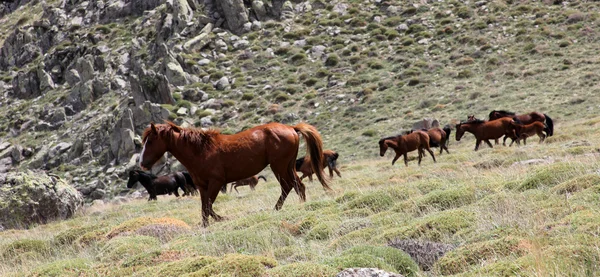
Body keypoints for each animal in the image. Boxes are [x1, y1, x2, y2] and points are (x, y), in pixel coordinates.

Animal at [139, 121, 330, 226]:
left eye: (151, 141)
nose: (142, 163)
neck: (200, 151)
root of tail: (292, 128)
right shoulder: (202, 186)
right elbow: (204, 208)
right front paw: (206, 225)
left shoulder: (216, 182)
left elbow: (208, 207)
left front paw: (221, 219)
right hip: (287, 166)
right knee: (298, 185)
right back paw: (299, 205)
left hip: (280, 167)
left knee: (288, 185)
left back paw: (278, 209)